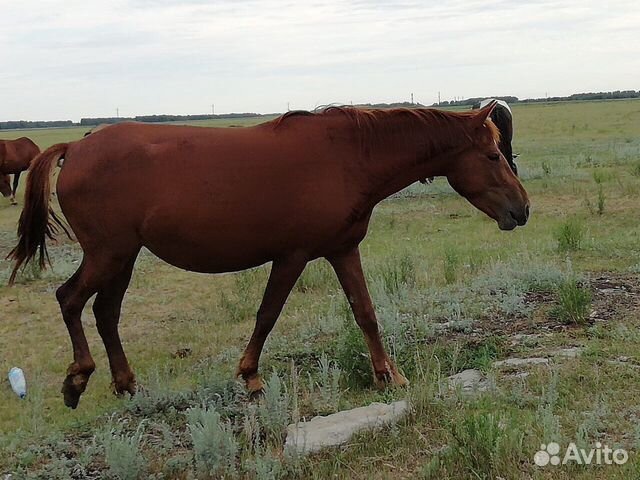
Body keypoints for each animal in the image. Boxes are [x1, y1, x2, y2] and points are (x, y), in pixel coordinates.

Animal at [10, 102, 528, 408]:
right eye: (492, 156)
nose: (521, 210)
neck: (346, 156)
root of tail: (74, 148)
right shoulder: (292, 256)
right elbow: (267, 314)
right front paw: (251, 377)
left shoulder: (342, 250)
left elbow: (365, 312)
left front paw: (389, 375)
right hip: (109, 255)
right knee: (70, 300)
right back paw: (78, 380)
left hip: (124, 258)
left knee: (105, 313)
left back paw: (125, 384)